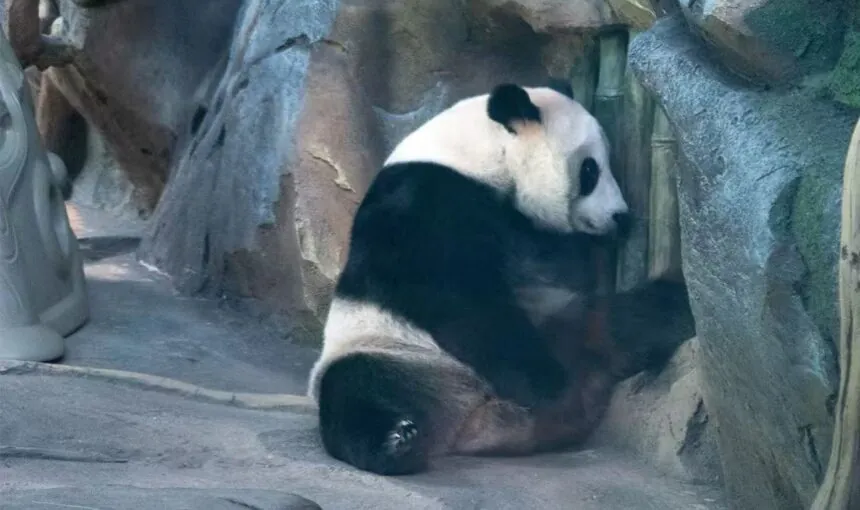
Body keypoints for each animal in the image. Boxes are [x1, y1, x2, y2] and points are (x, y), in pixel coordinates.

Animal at [306, 81, 694, 476]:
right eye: (590, 170)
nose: (621, 217)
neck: (480, 156)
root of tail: (478, 423)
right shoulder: (421, 199)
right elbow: (452, 295)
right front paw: (543, 382)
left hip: (570, 323)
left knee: (629, 319)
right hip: (394, 352)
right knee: (354, 391)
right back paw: (395, 442)